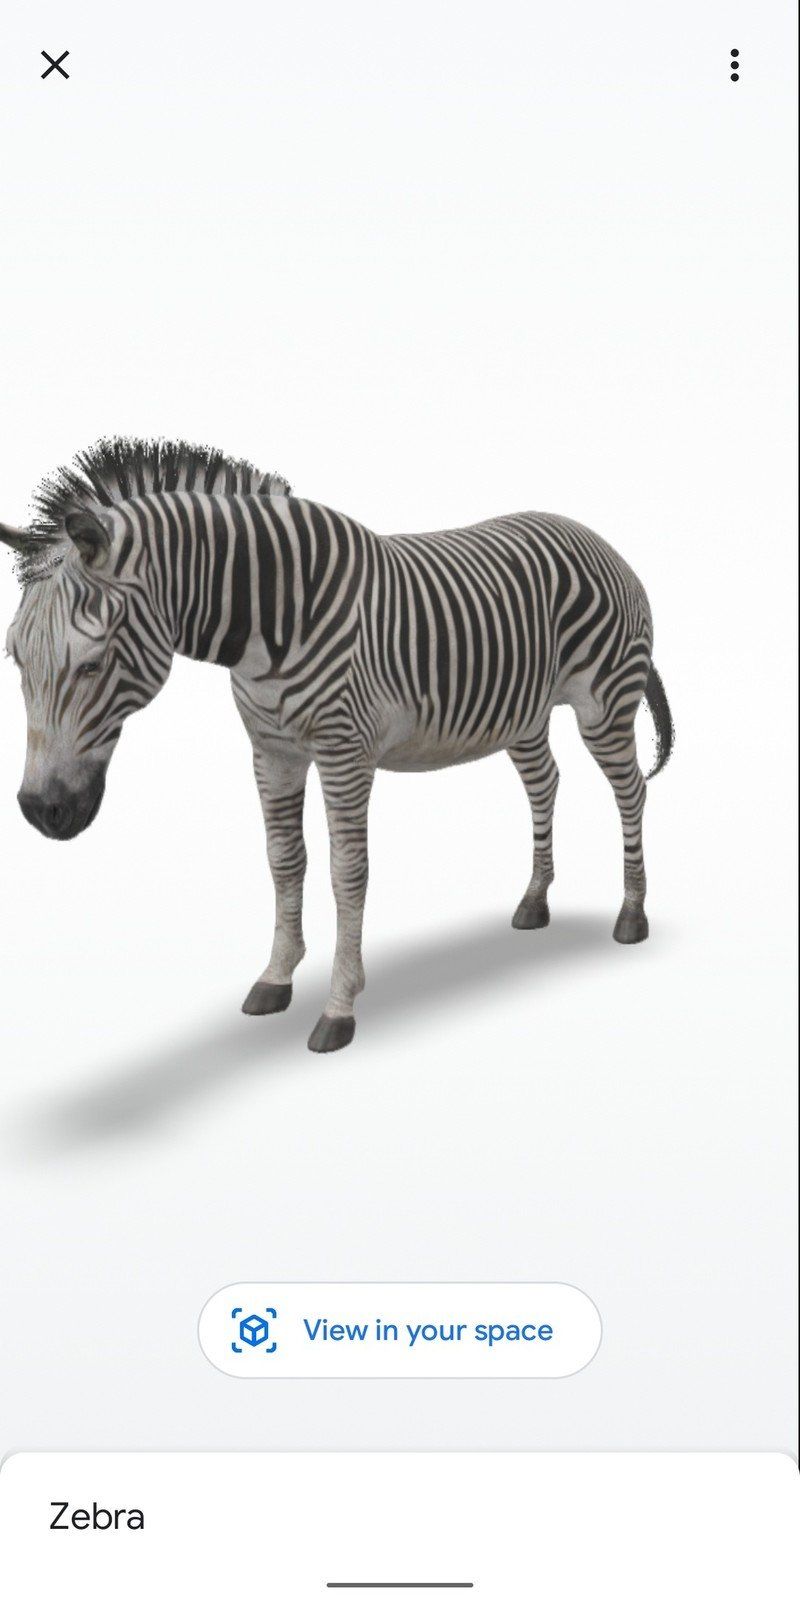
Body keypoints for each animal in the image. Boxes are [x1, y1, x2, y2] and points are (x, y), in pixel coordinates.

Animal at [2, 437, 673, 1053]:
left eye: (90, 664)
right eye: (15, 658)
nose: (40, 810)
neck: (271, 622)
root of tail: (592, 535)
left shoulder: (345, 753)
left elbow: (347, 872)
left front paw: (339, 1006)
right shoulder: (271, 752)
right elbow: (283, 860)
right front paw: (276, 977)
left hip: (604, 703)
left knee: (631, 793)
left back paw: (631, 915)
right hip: (523, 712)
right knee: (545, 783)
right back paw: (535, 902)